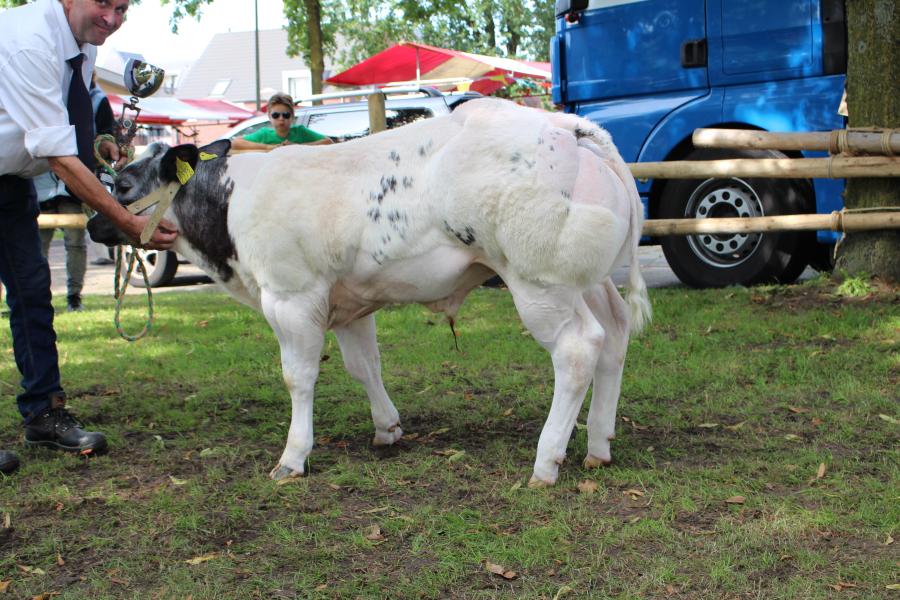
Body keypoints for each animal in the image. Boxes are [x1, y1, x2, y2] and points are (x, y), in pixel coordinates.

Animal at [89, 98, 652, 488]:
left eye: (123, 184)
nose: (94, 223)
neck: (232, 202)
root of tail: (561, 124)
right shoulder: (349, 305)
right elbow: (365, 367)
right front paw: (387, 429)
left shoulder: (291, 297)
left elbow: (298, 378)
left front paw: (293, 457)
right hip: (586, 279)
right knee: (615, 333)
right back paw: (598, 444)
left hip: (539, 282)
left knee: (578, 349)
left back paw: (546, 461)